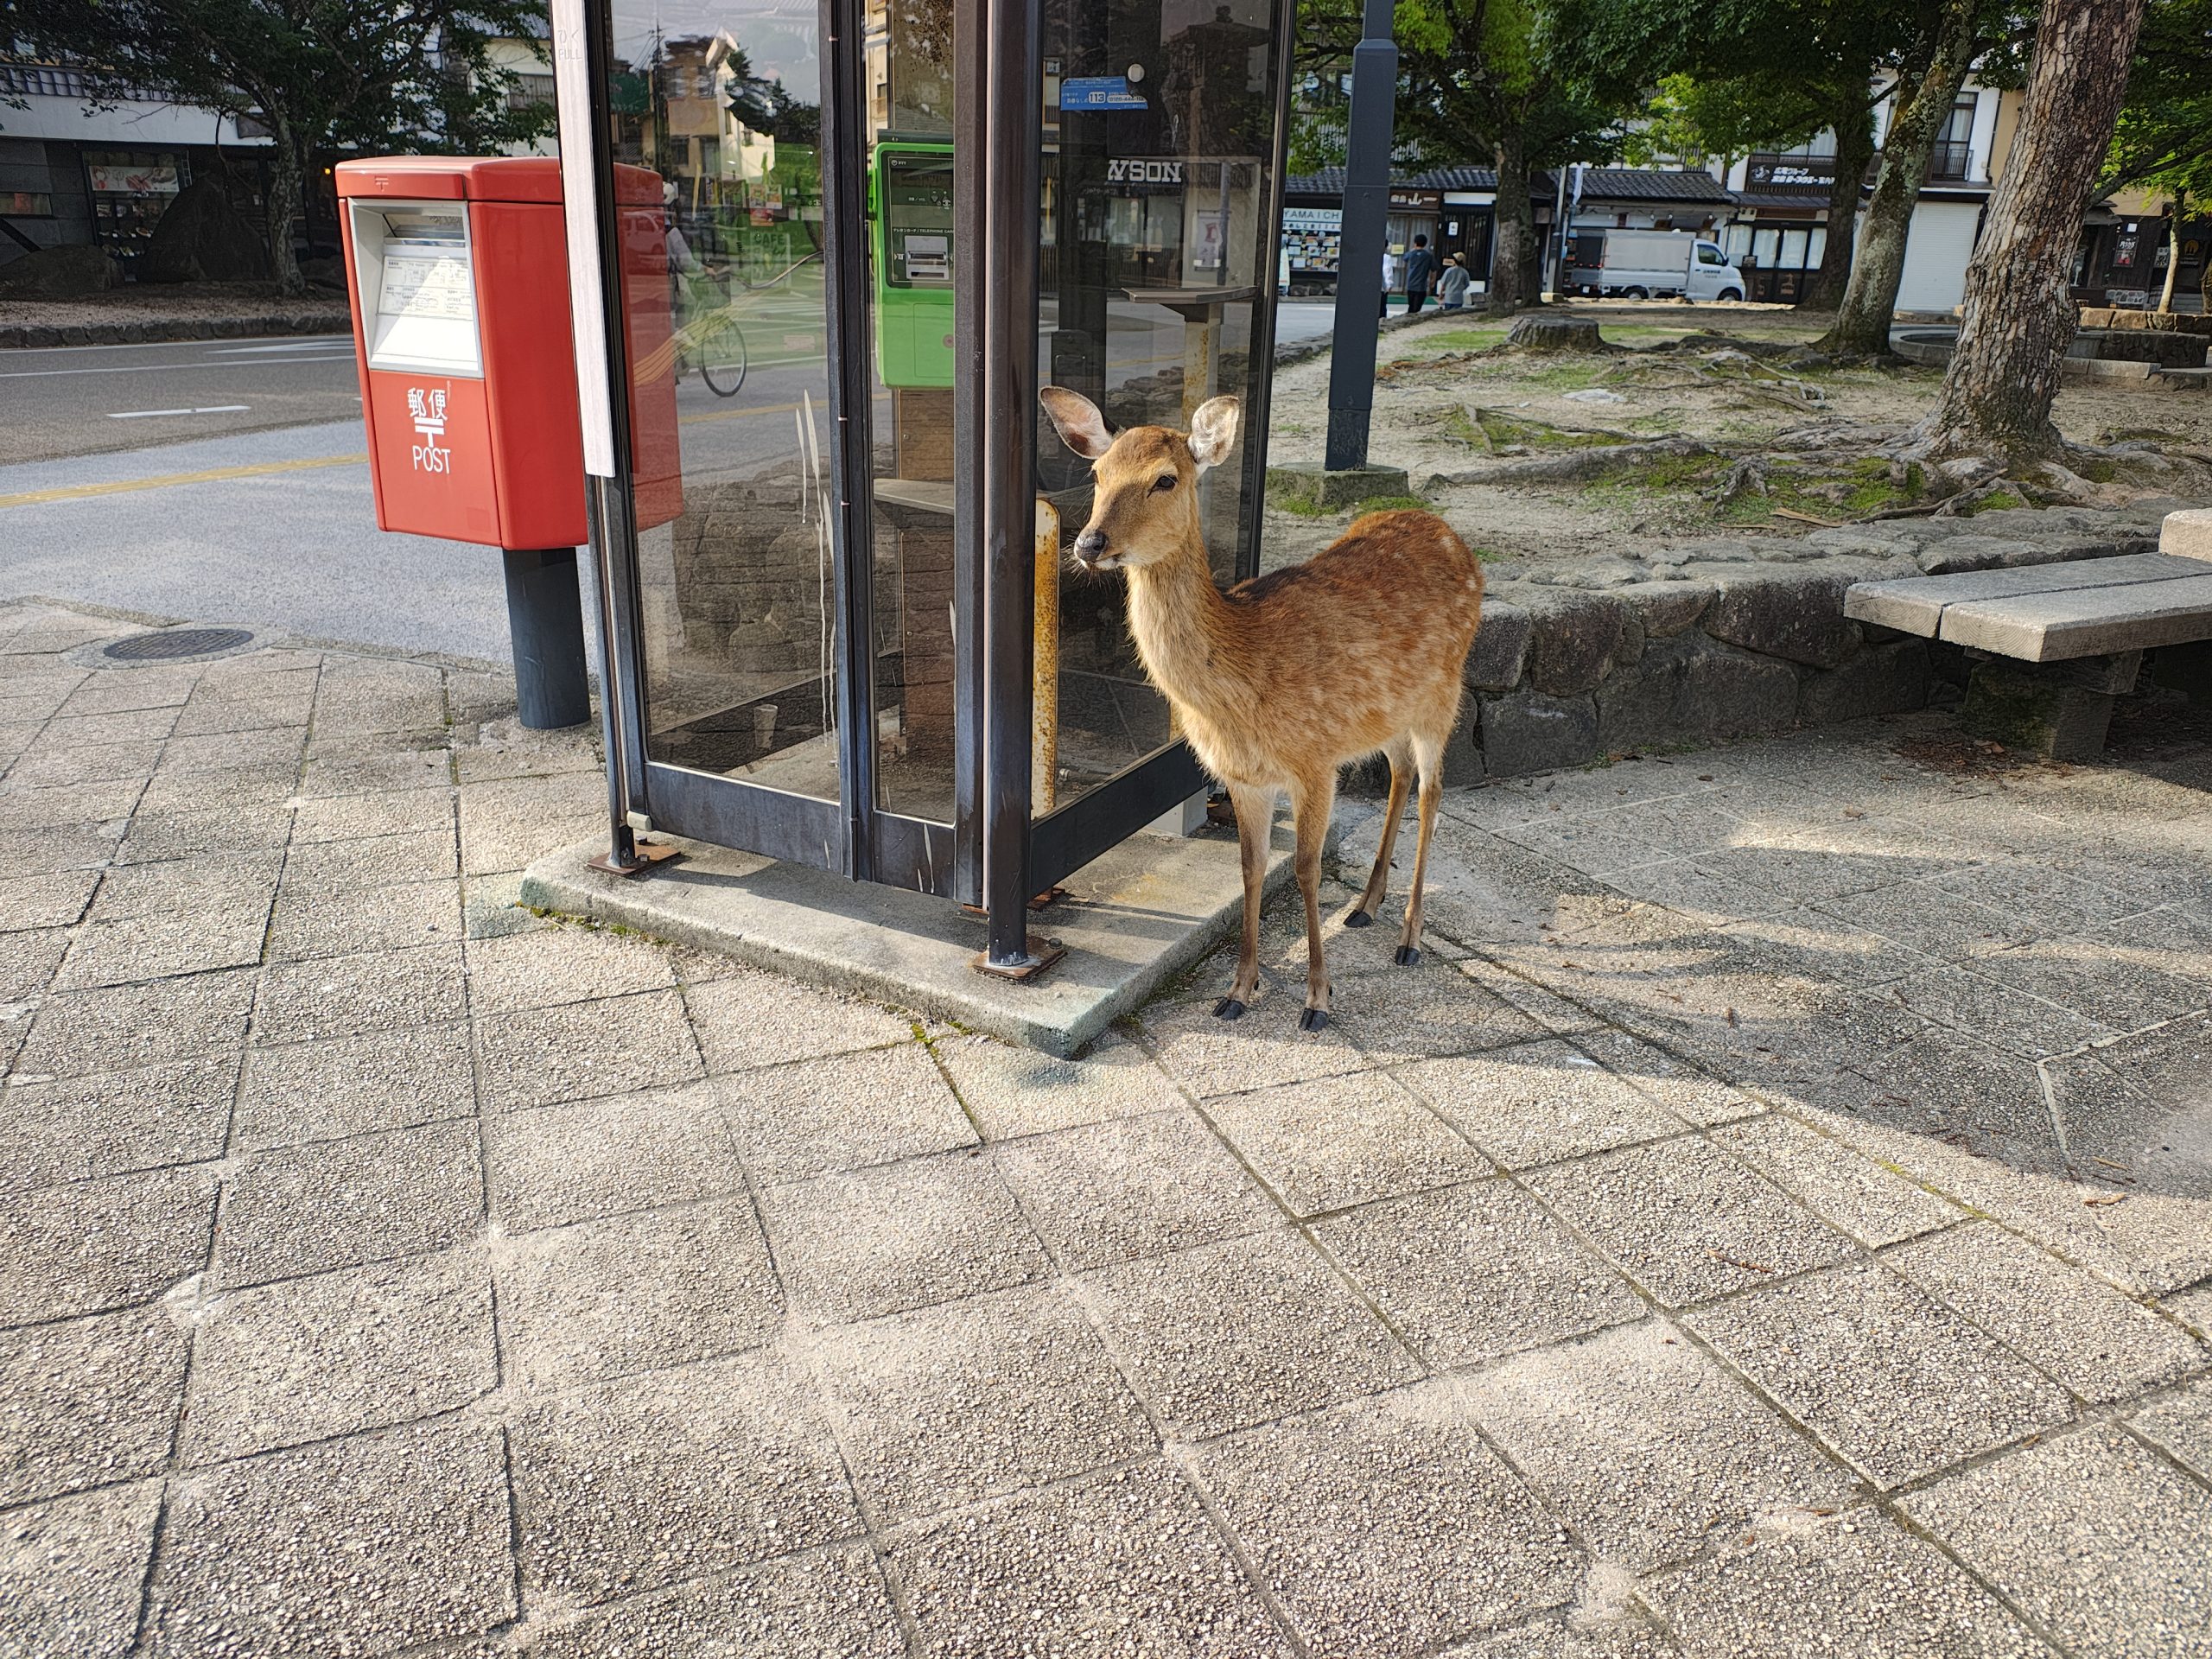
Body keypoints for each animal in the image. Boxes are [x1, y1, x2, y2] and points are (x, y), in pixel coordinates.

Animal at [1039, 386, 1484, 1032]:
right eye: (1097, 474)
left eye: (1166, 479)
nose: (1089, 544)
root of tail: (1449, 530)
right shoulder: (1243, 776)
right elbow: (1250, 868)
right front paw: (1237, 990)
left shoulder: (1315, 761)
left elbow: (1303, 867)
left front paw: (1318, 999)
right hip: (1389, 713)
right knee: (1400, 773)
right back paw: (1364, 905)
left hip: (1443, 694)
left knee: (1432, 792)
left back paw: (1409, 938)